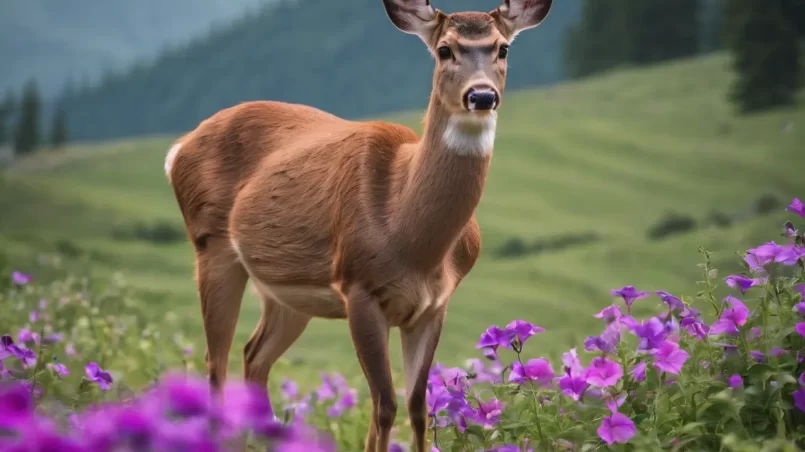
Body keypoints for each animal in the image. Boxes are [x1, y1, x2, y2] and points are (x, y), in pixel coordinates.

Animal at [163, 1, 552, 450]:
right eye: (444, 50)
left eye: (503, 48)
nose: (482, 95)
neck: (413, 241)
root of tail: (177, 149)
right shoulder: (358, 286)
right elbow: (384, 405)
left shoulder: (434, 305)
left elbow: (418, 406)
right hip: (210, 244)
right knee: (216, 362)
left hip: (286, 292)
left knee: (253, 356)